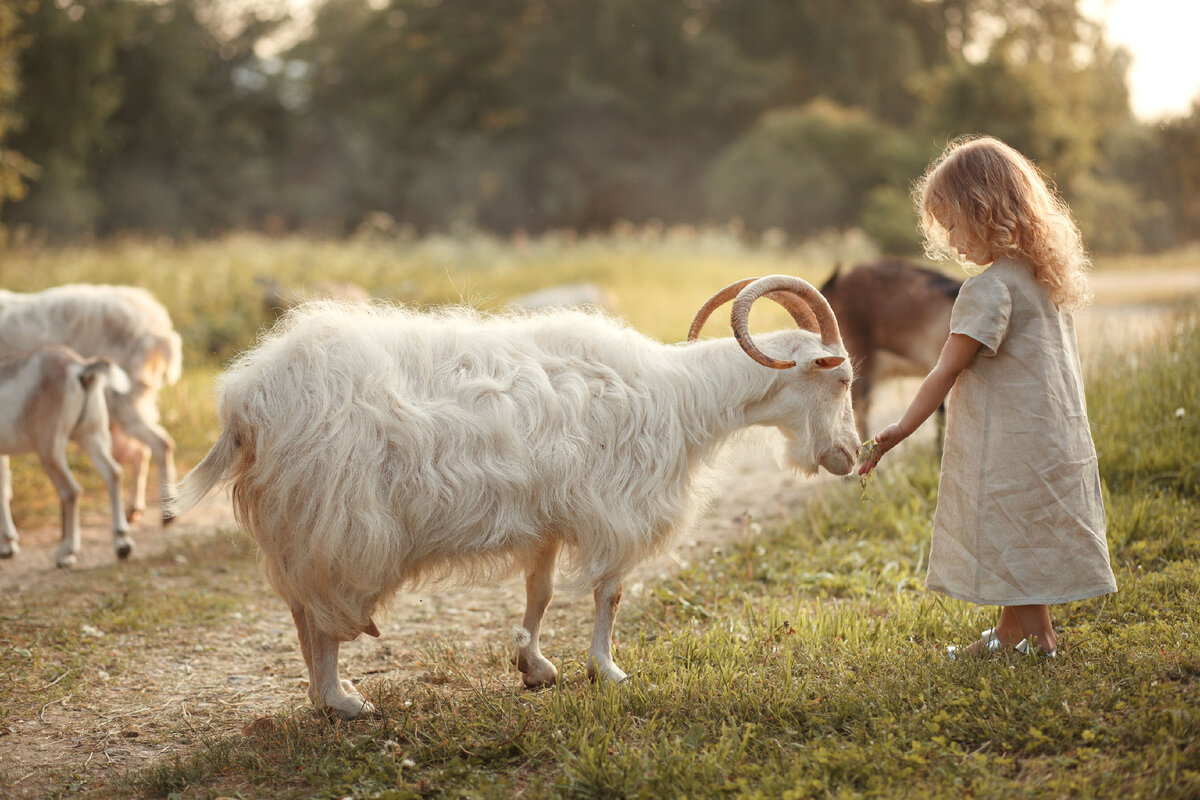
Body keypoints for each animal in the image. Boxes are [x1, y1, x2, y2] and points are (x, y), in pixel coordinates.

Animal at [0, 286, 182, 525]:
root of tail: (155, 323)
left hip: (121, 401)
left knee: (161, 444)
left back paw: (166, 513)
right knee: (142, 451)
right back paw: (135, 508)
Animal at [1, 347, 135, 566]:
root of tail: (80, 369)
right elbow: (4, 489)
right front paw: (8, 546)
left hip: (50, 448)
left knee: (71, 490)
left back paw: (66, 553)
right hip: (91, 435)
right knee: (113, 473)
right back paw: (122, 543)